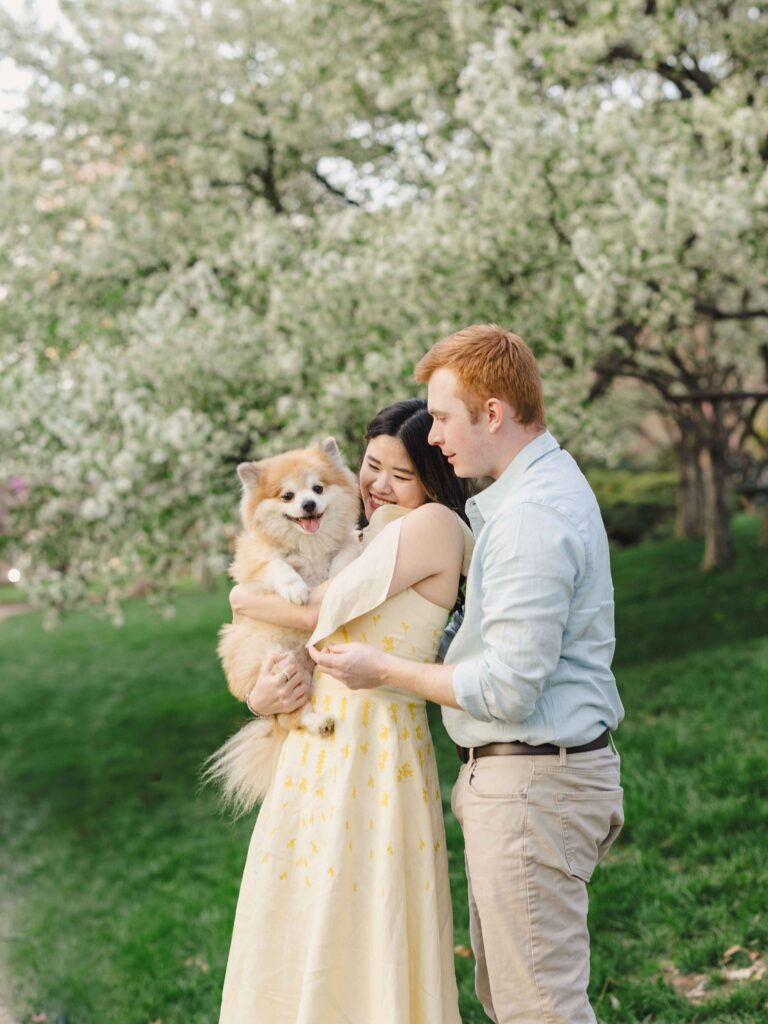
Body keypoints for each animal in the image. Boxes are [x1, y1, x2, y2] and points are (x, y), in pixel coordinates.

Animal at [204, 438, 360, 815]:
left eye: (318, 488)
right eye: (287, 496)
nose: (308, 504)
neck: (310, 546)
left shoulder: (347, 543)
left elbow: (346, 551)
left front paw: (337, 574)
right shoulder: (255, 567)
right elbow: (279, 566)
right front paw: (296, 589)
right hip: (281, 664)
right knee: (291, 718)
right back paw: (317, 721)